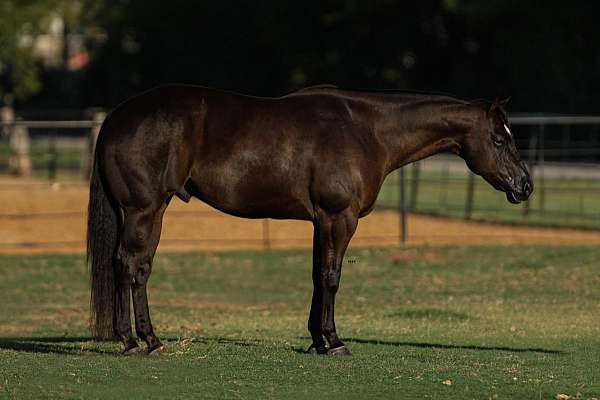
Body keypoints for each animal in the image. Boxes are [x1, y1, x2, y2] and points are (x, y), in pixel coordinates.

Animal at [88, 83, 528, 354]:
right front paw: (334, 341)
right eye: (498, 139)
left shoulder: (322, 222)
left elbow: (318, 275)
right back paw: (138, 340)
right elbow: (332, 277)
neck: (367, 130)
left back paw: (142, 337)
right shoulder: (340, 218)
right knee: (129, 266)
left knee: (133, 267)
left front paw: (317, 339)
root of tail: (116, 117)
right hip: (144, 210)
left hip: (143, 212)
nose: (525, 185)